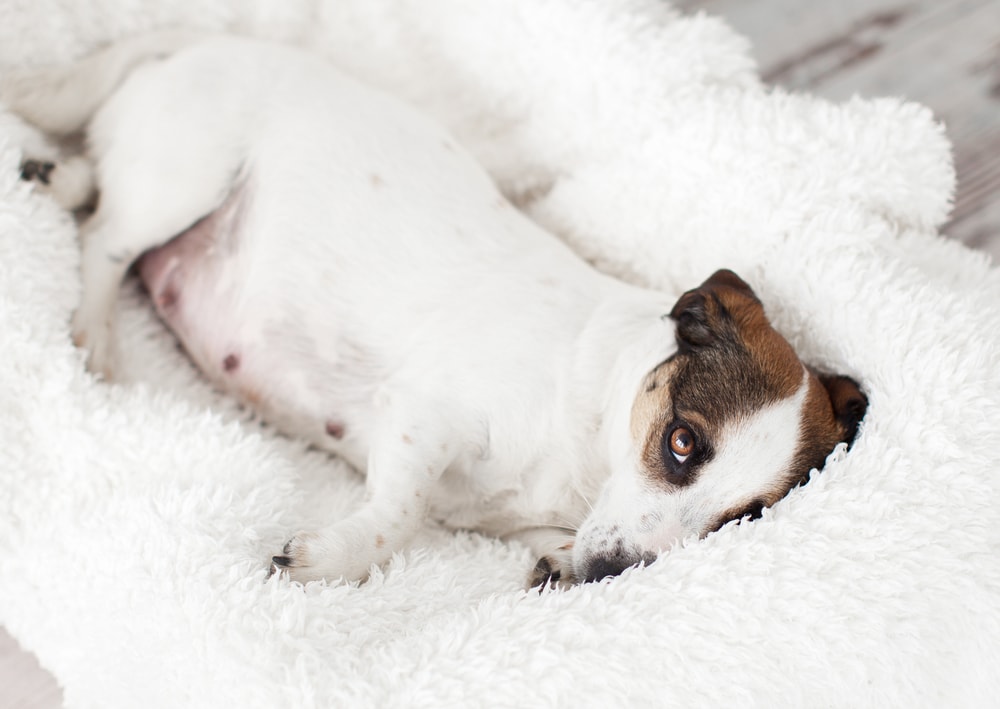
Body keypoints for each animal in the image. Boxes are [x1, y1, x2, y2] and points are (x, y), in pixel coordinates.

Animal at [1, 33, 868, 588]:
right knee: (104, 240)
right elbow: (400, 515)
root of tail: (178, 47)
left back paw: (55, 173)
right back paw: (95, 332)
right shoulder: (422, 419)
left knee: (93, 184)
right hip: (184, 178)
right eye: (683, 442)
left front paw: (559, 563)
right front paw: (327, 560)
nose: (611, 574)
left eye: (740, 521)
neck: (590, 427)